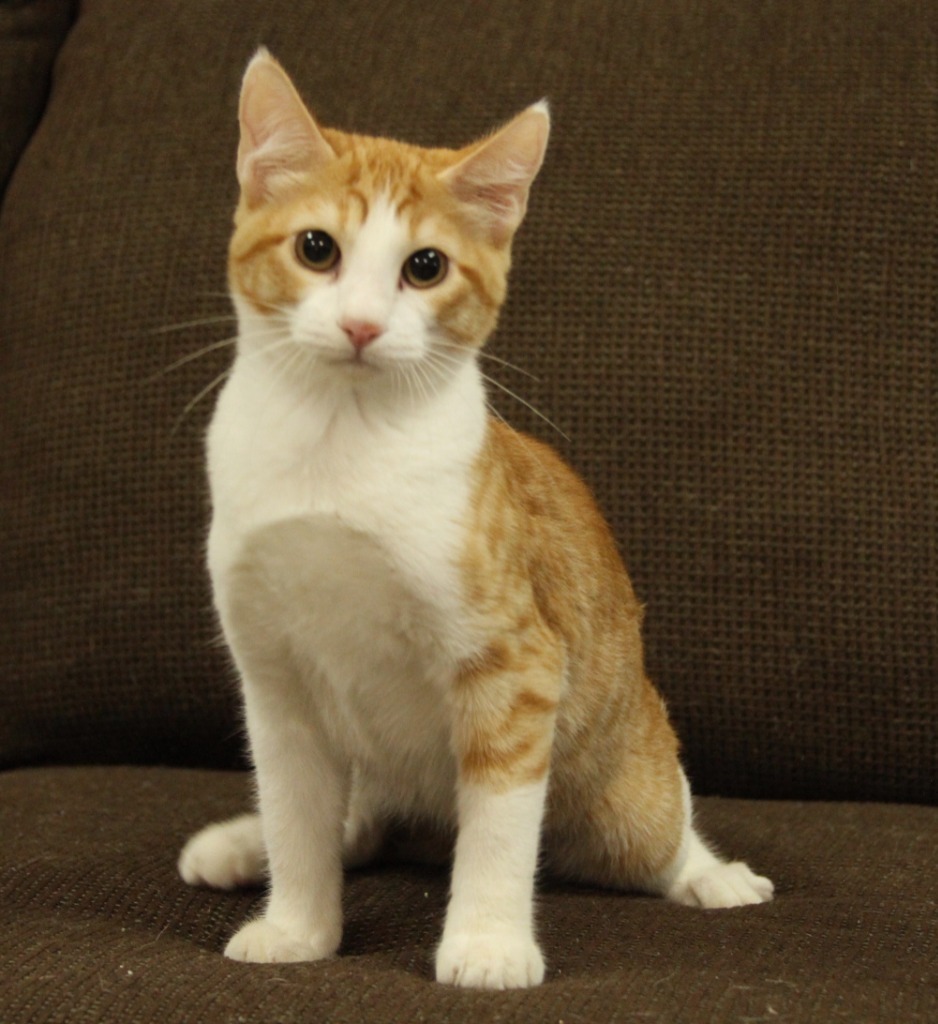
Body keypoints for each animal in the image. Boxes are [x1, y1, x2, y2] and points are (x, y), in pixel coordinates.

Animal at [174, 49, 770, 991]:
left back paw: (709, 874)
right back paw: (242, 845)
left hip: (626, 796)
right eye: (316, 248)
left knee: (659, 836)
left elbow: (497, 820)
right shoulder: (274, 679)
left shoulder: (514, 664)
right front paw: (297, 925)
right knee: (352, 823)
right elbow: (296, 810)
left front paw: (487, 943)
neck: (339, 446)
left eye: (425, 266)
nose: (361, 325)